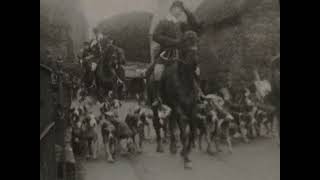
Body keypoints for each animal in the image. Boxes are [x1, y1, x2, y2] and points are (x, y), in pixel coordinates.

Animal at [147, 31, 200, 169]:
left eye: (196, 42)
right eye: (185, 43)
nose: (195, 61)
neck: (184, 80)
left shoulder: (192, 107)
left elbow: (192, 131)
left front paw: (185, 152)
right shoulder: (178, 107)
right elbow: (183, 132)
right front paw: (186, 158)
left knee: (170, 123)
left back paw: (173, 147)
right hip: (155, 105)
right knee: (157, 122)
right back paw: (160, 146)